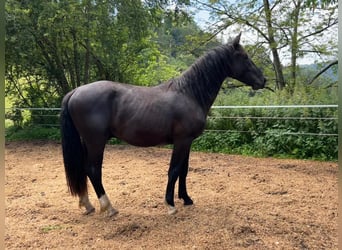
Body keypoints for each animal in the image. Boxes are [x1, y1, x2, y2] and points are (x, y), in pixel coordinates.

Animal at [60, 33, 266, 217]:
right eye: (245, 57)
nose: (263, 80)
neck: (189, 93)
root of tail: (76, 91)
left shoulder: (188, 142)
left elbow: (184, 170)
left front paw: (186, 199)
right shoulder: (182, 141)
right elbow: (174, 170)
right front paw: (170, 204)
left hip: (87, 142)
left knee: (84, 169)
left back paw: (87, 205)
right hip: (96, 142)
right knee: (93, 170)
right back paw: (109, 207)